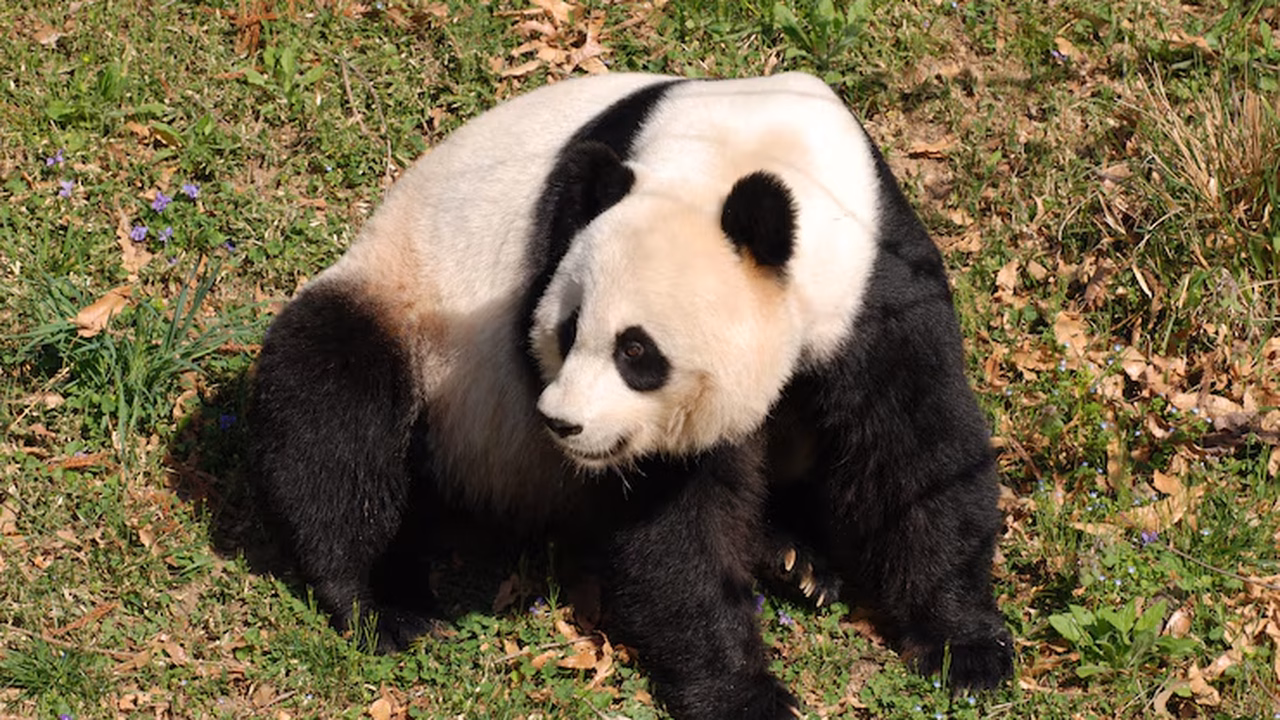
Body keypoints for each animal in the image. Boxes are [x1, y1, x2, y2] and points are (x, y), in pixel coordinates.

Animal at [250, 72, 1012, 719]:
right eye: (564, 331)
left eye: (636, 352)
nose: (560, 424)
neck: (746, 156)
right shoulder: (566, 236)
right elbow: (671, 518)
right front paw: (744, 693)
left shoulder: (878, 275)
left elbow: (916, 452)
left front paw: (966, 647)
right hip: (408, 312)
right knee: (333, 407)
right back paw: (385, 604)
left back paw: (799, 563)